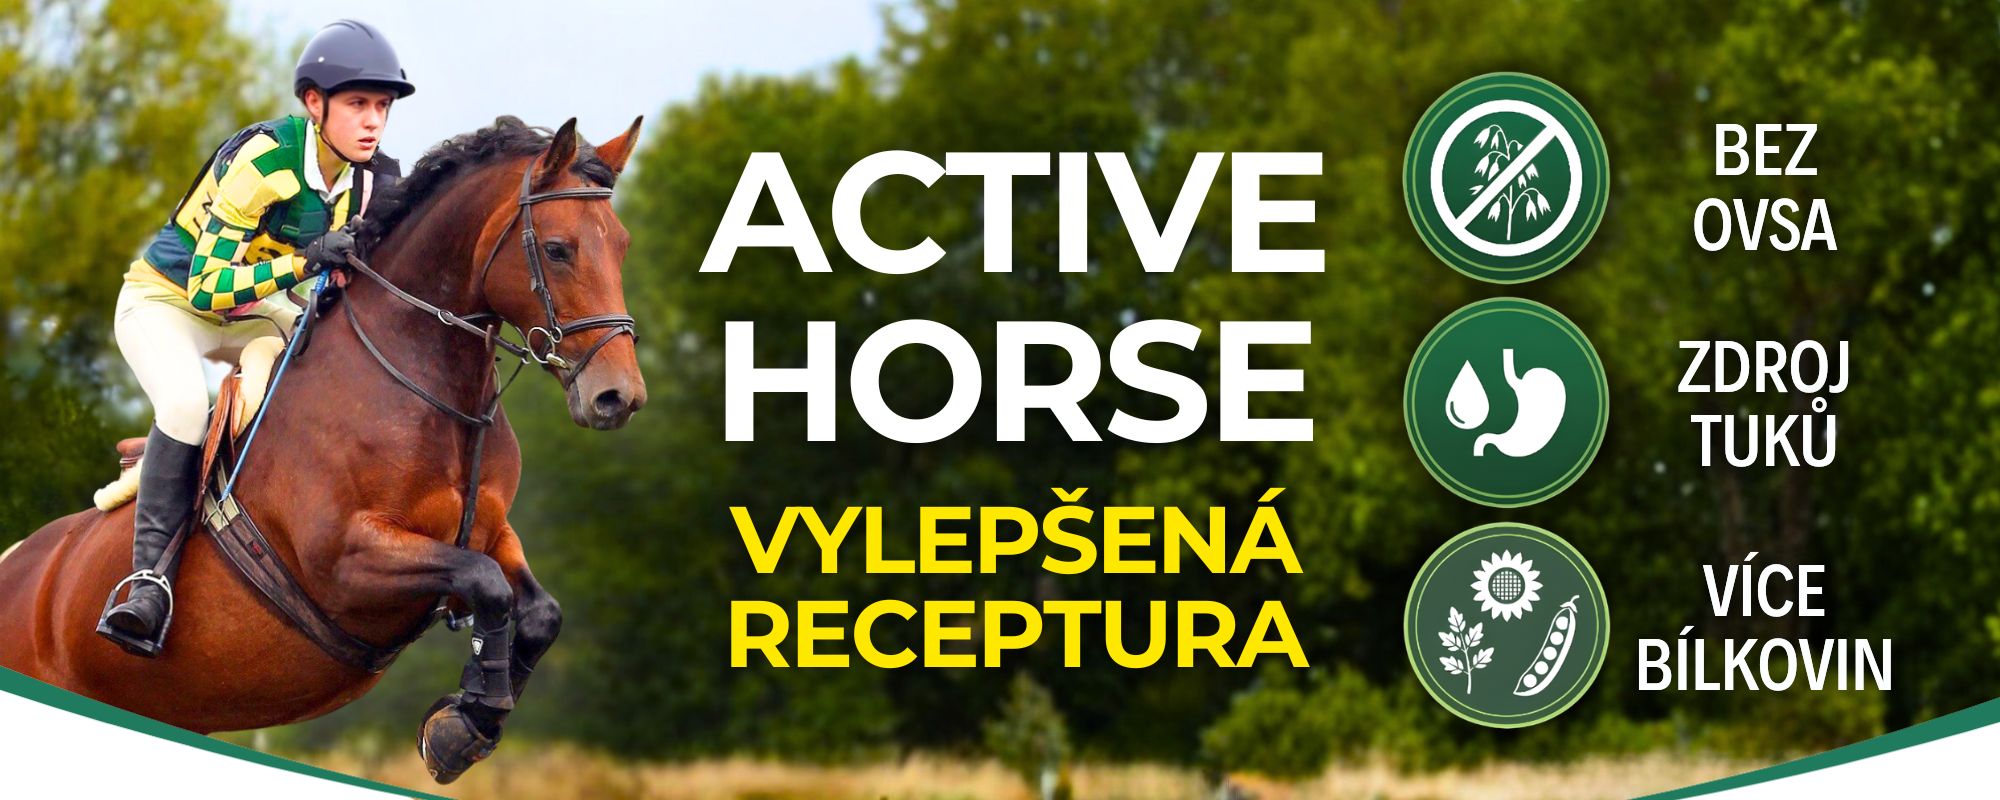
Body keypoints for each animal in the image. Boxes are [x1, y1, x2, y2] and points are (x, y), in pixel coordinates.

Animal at [0, 114, 646, 783]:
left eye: (622, 245)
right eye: (558, 249)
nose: (617, 396)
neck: (426, 386)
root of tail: (17, 562)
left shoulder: (490, 530)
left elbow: (541, 611)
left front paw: (467, 722)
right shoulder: (345, 560)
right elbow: (485, 583)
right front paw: (463, 721)